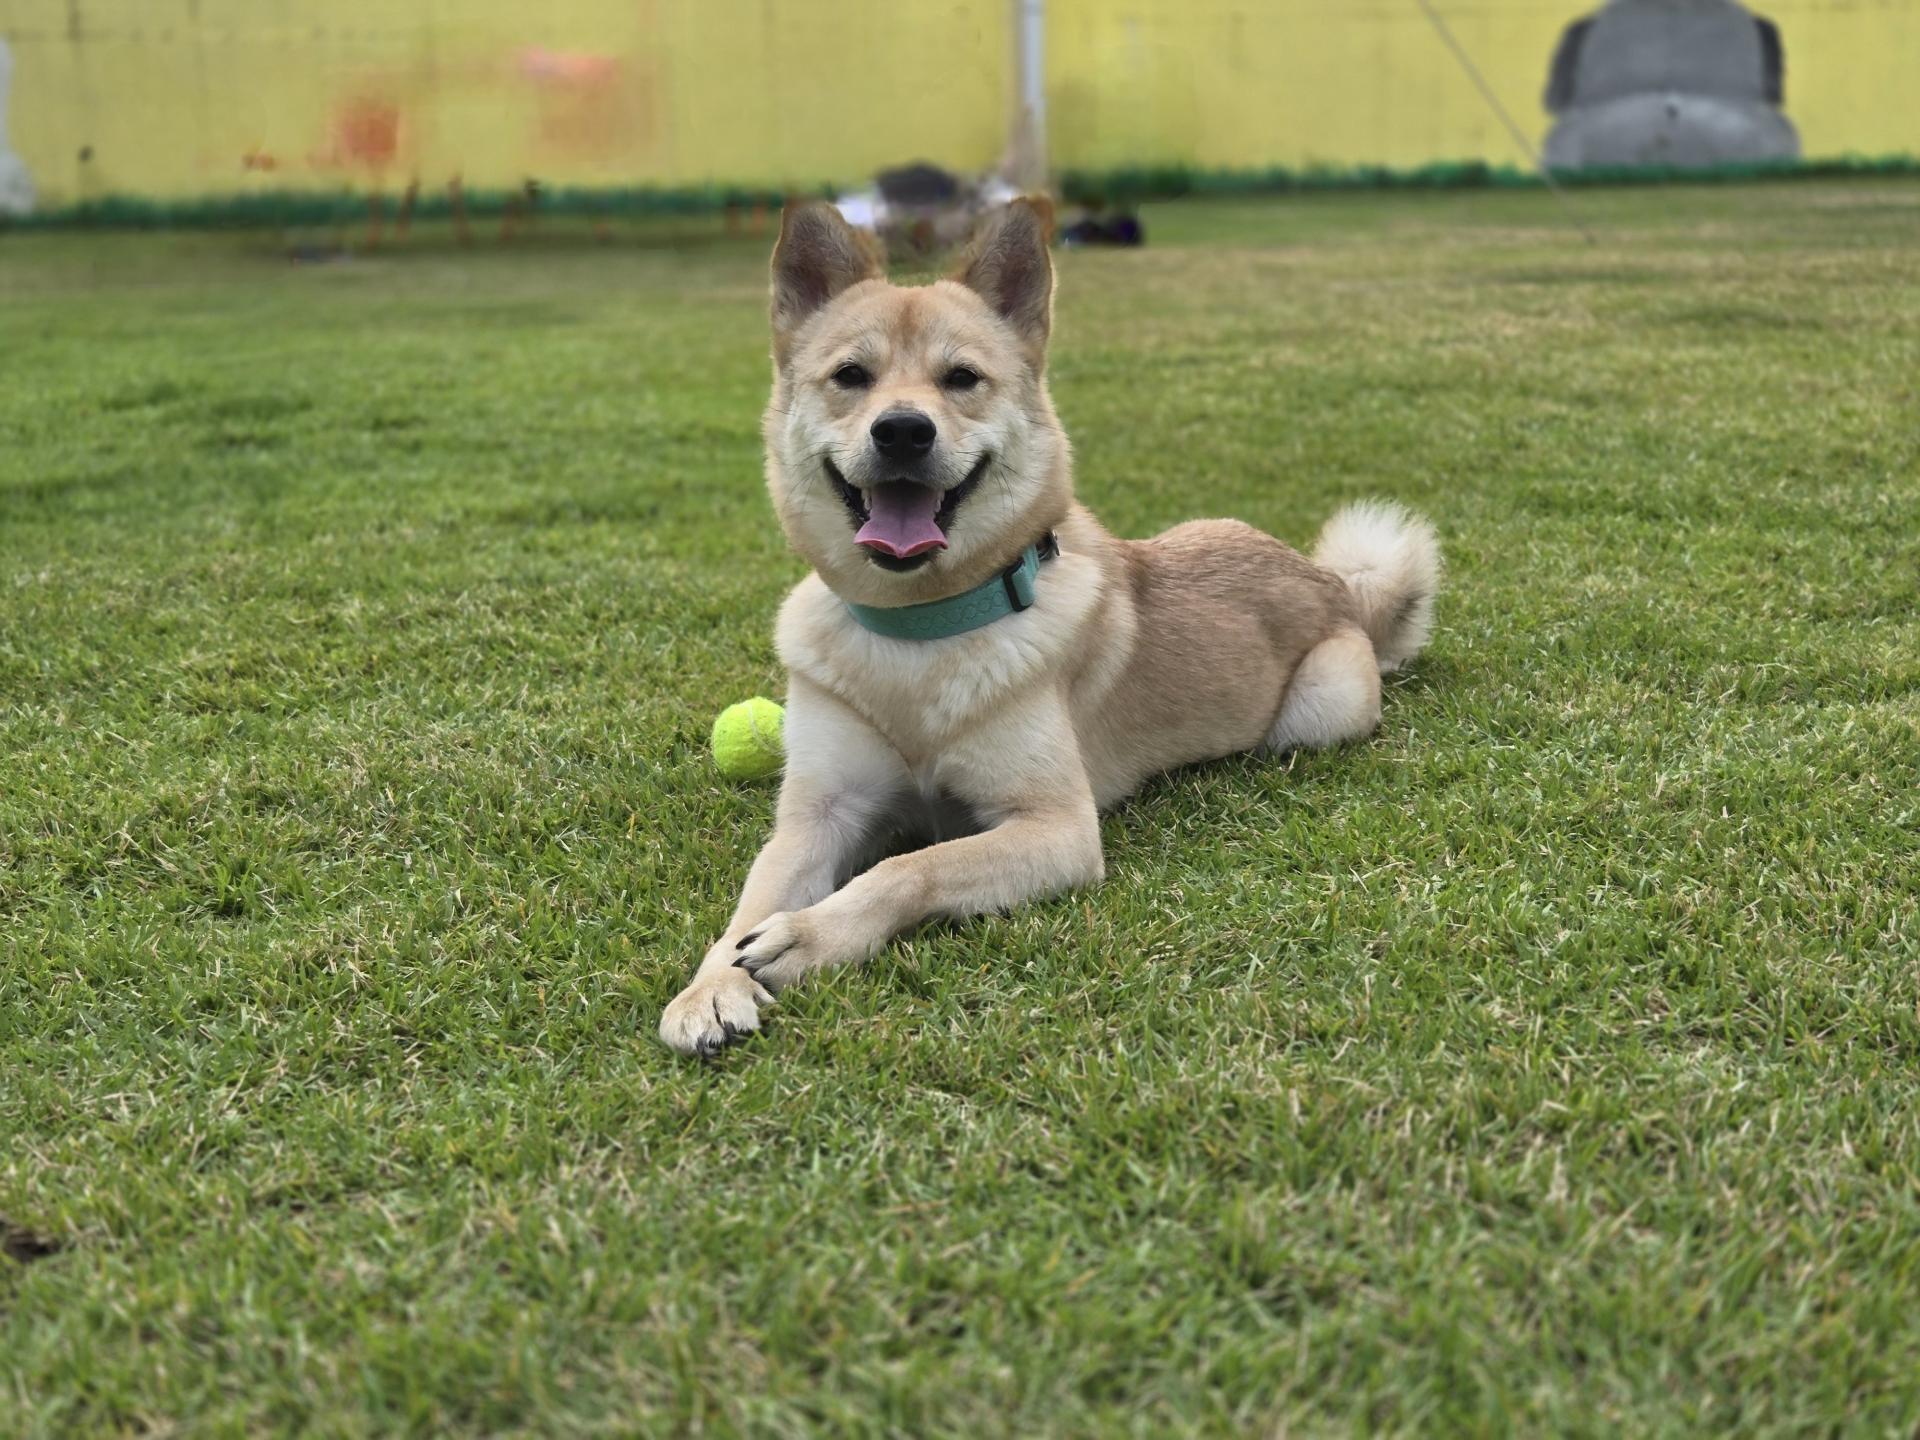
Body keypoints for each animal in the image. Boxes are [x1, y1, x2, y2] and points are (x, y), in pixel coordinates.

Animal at [659, 197, 1440, 1056]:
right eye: (851, 377)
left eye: (962, 378)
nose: (902, 430)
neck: (918, 634)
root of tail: (1332, 583)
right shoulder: (816, 816)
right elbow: (749, 902)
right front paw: (710, 986)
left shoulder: (1056, 828)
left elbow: (913, 866)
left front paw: (808, 935)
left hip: (1318, 712)